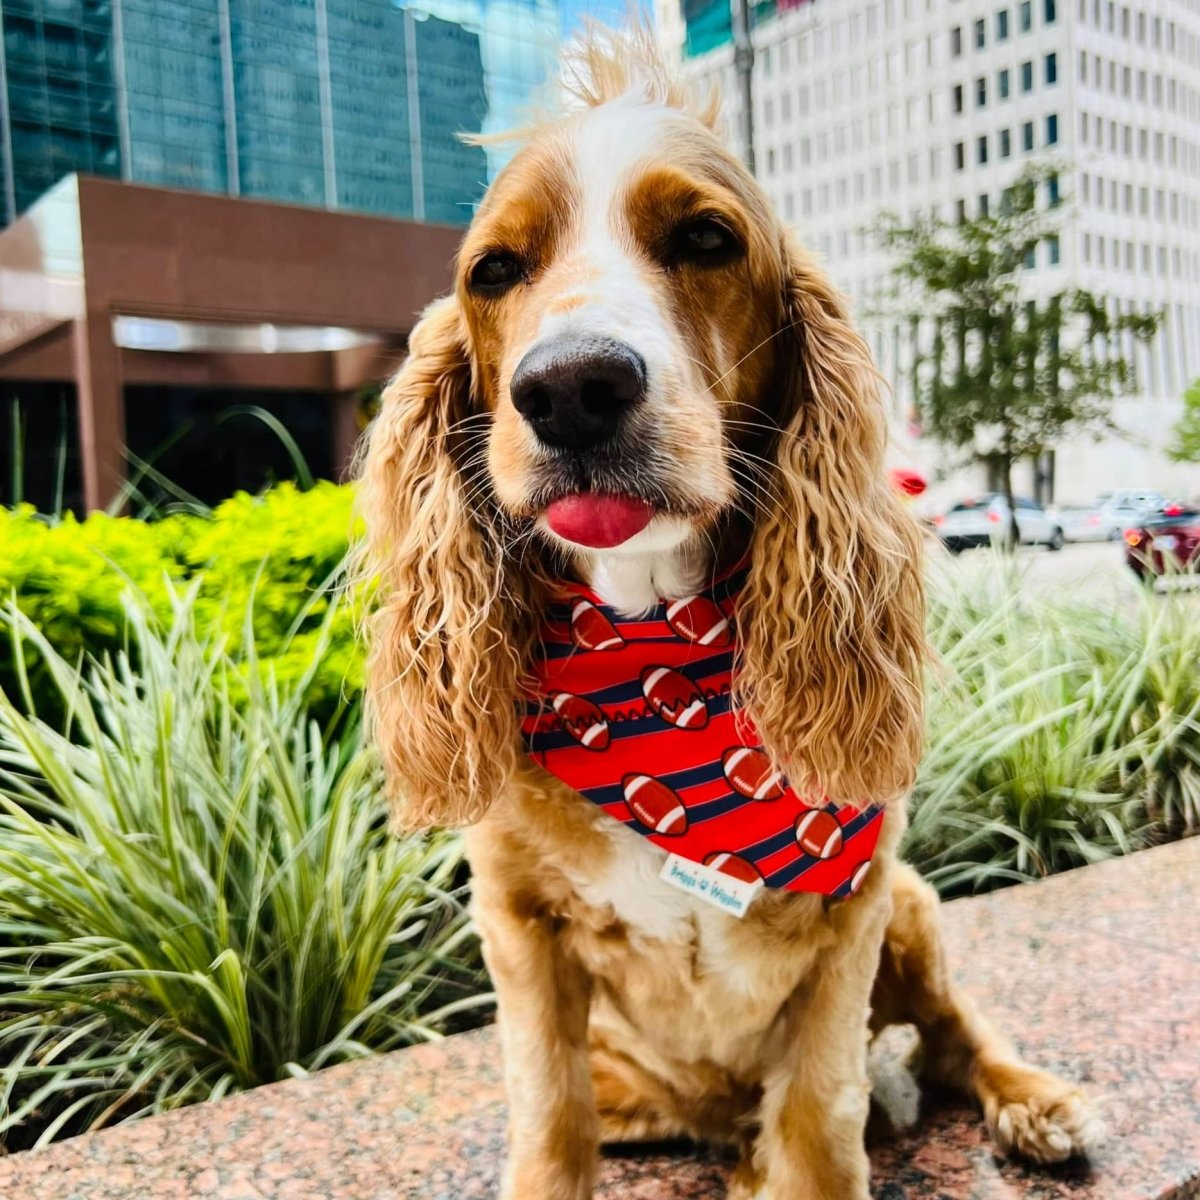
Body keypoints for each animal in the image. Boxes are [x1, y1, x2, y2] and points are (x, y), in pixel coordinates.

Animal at [357, 30, 1104, 1200]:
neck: (650, 644)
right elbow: (549, 1115)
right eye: (495, 271)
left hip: (915, 908)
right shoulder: (519, 927)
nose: (570, 387)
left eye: (707, 238)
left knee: (950, 1035)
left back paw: (1034, 1101)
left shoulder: (856, 913)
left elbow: (821, 1116)